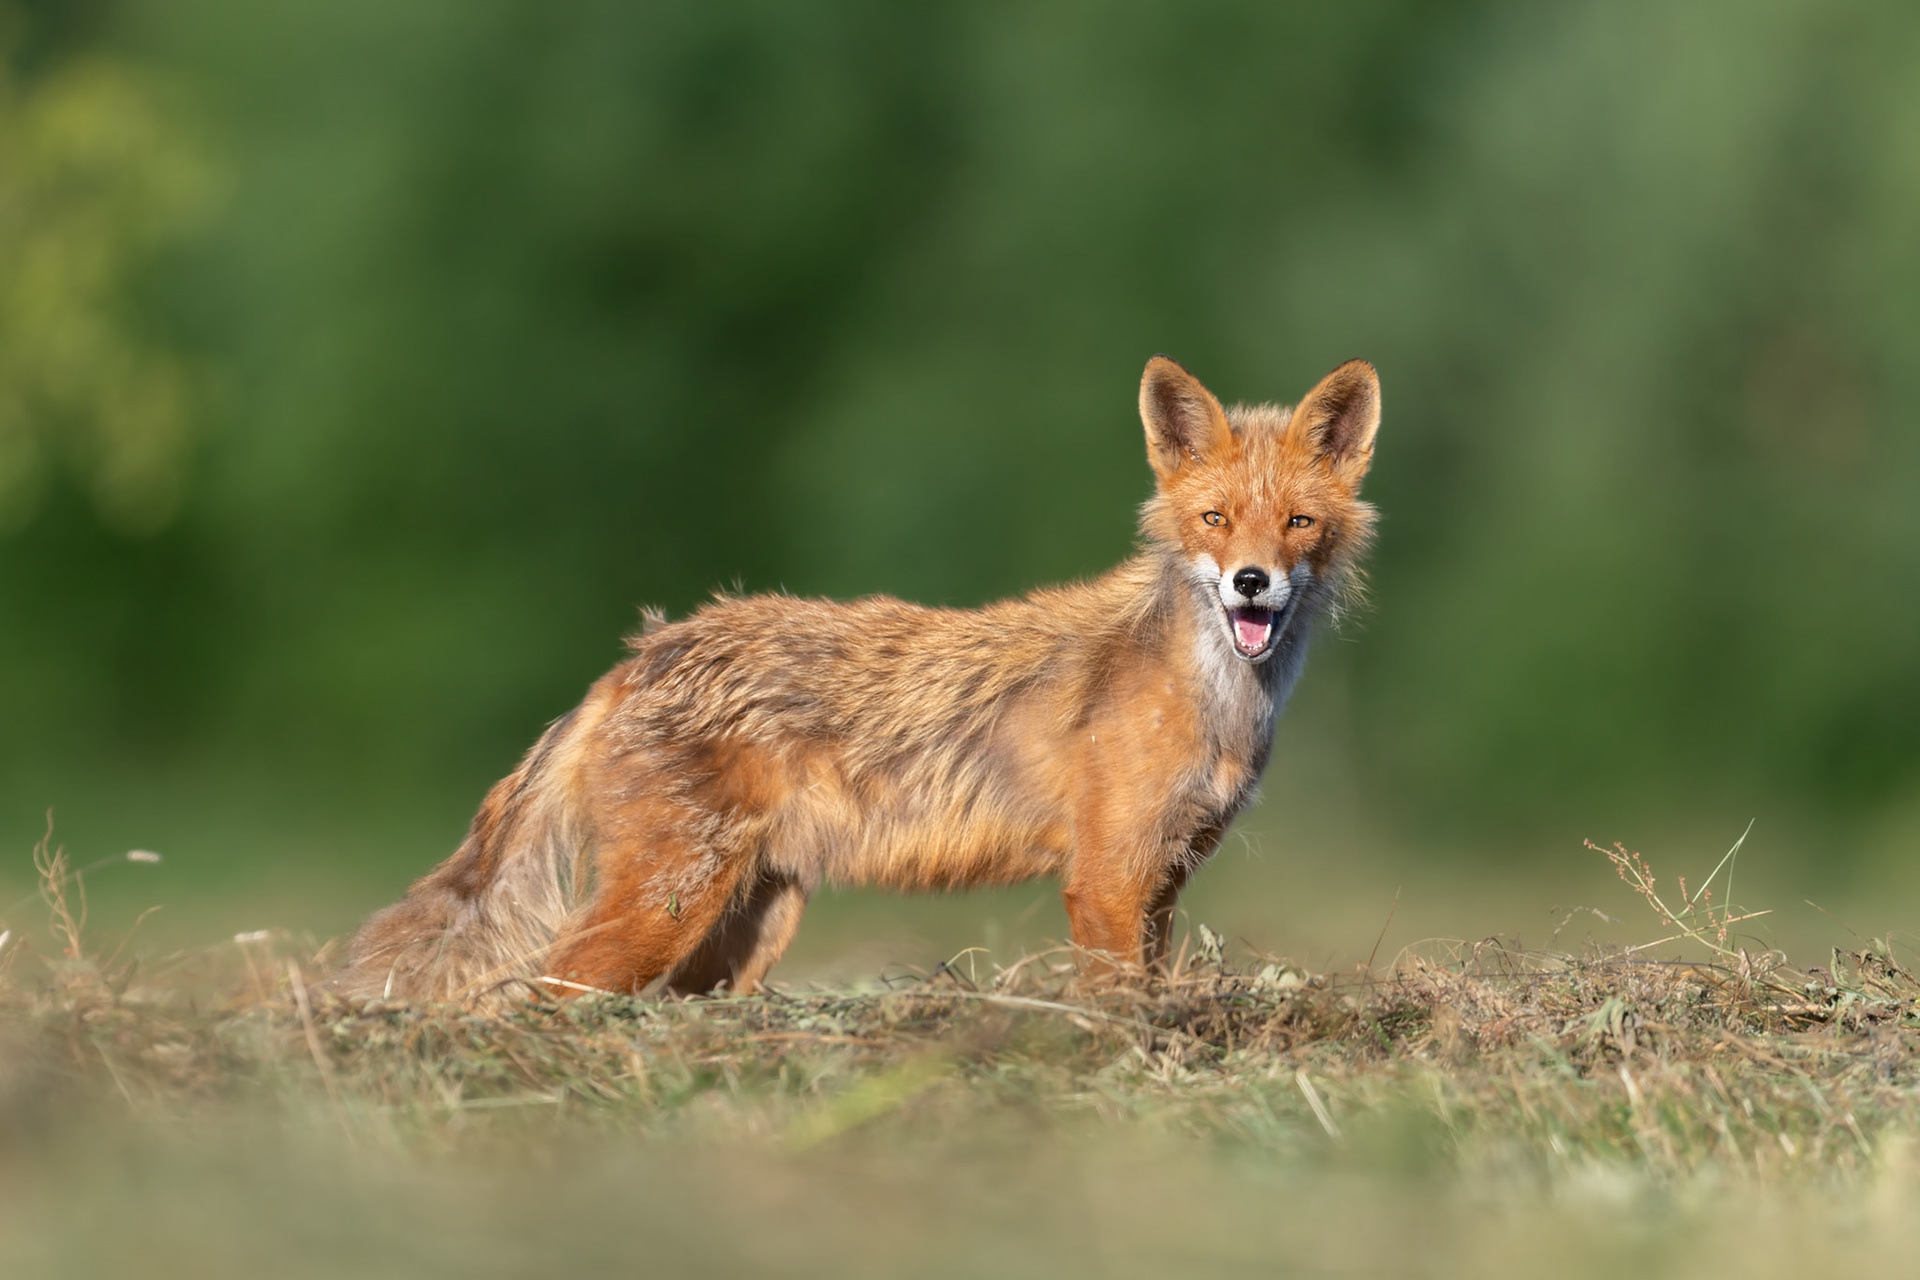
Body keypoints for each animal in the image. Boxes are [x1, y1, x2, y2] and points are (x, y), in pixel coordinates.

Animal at [330, 355, 1381, 1005]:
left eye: (1297, 523)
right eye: (1213, 519)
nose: (1252, 583)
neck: (1218, 704)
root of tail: (635, 657)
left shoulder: (1166, 876)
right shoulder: (1107, 878)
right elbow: (1117, 1000)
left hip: (746, 923)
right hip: (668, 906)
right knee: (543, 990)